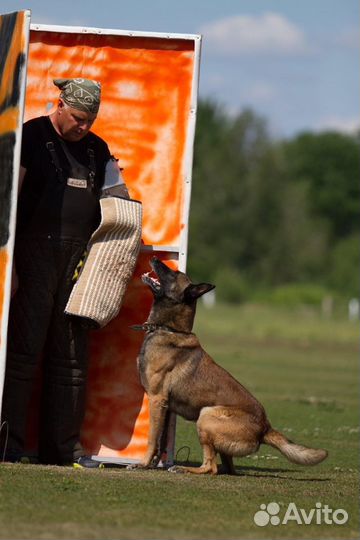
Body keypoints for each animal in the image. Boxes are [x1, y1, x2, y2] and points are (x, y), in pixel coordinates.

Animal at [133, 258, 330, 472]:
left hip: (206, 415)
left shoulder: (156, 399)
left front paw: (143, 464)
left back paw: (183, 468)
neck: (170, 329)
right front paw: (153, 463)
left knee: (211, 467)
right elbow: (161, 441)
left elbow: (152, 438)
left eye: (173, 274)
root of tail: (265, 428)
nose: (154, 259)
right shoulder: (166, 407)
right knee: (227, 468)